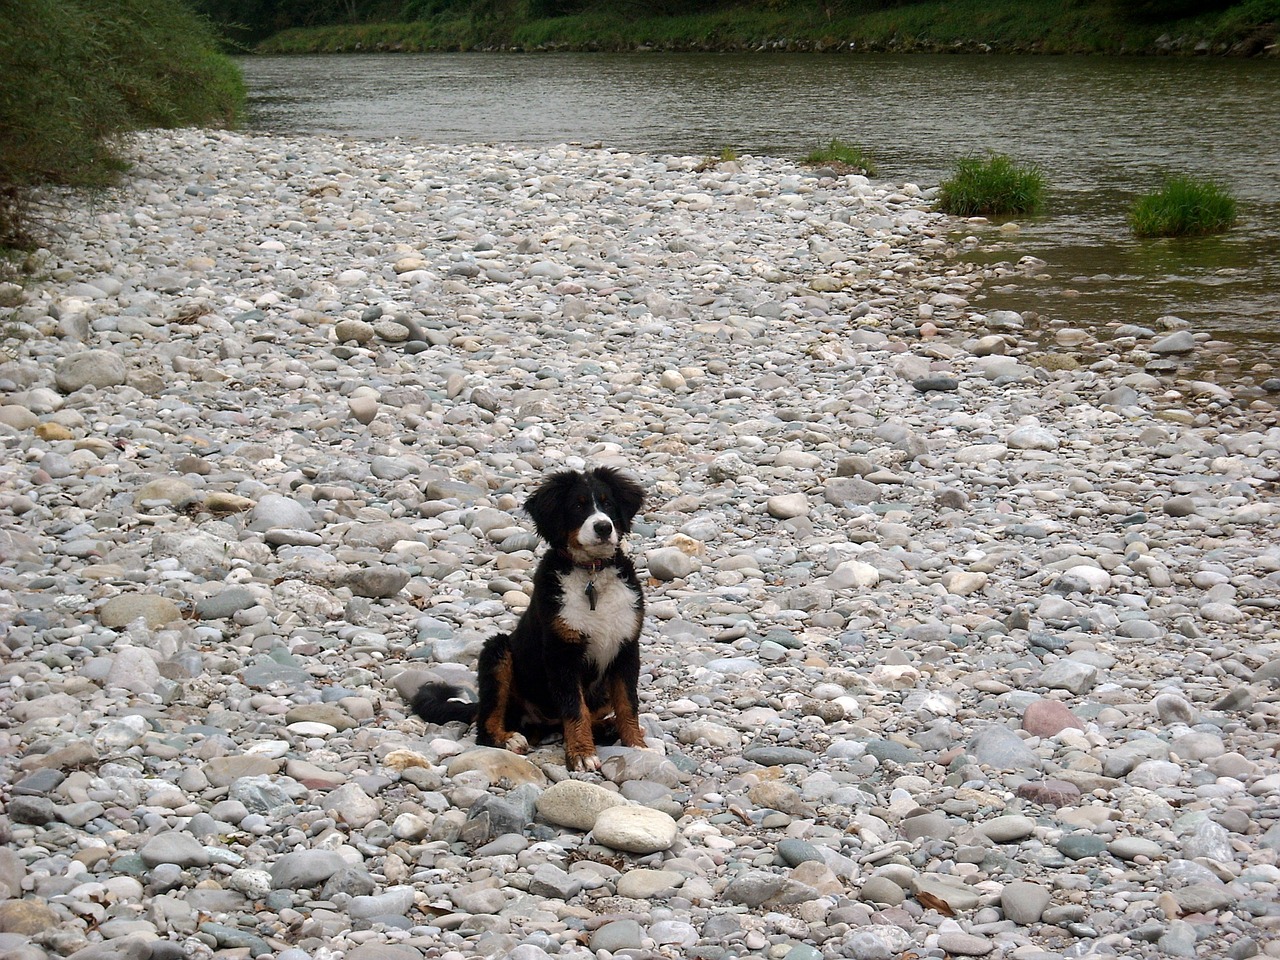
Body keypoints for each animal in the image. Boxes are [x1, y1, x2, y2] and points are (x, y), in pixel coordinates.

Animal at [412, 465, 650, 773]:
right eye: (577, 506)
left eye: (607, 503)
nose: (603, 527)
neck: (592, 573)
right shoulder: (561, 653)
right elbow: (575, 710)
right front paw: (582, 753)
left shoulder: (626, 647)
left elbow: (627, 704)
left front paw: (637, 746)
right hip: (497, 651)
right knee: (487, 724)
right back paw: (509, 739)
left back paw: (607, 728)